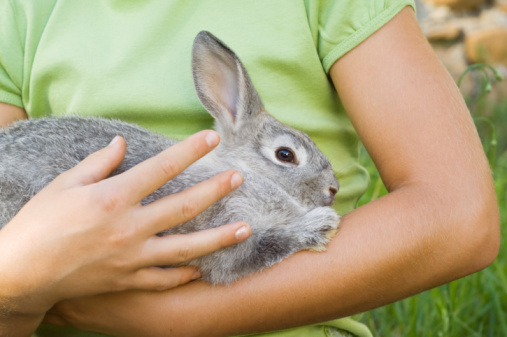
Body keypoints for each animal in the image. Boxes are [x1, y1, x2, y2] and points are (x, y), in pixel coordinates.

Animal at [0, 31, 342, 284]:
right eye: (285, 155)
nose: (333, 189)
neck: (243, 172)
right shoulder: (225, 231)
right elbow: (263, 245)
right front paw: (320, 224)